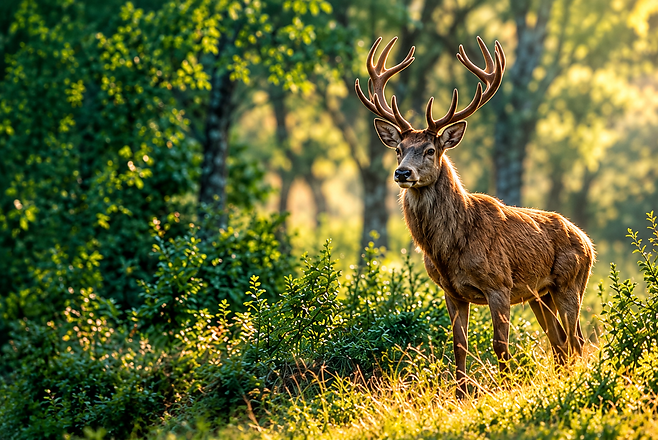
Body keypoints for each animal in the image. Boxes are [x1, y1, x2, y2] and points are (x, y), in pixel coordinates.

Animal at [355, 36, 595, 399]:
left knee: (577, 340)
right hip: (541, 295)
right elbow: (458, 345)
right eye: (398, 149)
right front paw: (460, 394)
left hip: (571, 282)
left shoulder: (500, 284)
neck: (449, 248)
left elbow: (500, 345)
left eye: (430, 150)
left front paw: (506, 390)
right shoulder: (451, 291)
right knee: (560, 343)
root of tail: (588, 242)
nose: (402, 173)